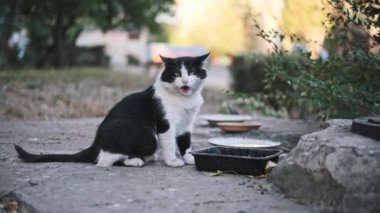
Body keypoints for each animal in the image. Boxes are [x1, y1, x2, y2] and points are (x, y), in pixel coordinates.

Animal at [14, 52, 209, 166]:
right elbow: (169, 143)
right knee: (105, 160)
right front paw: (173, 161)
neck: (184, 100)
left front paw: (189, 157)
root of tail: (96, 143)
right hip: (143, 133)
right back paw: (135, 160)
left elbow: (185, 141)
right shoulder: (165, 123)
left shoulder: (186, 123)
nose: (185, 81)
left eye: (191, 73)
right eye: (176, 74)